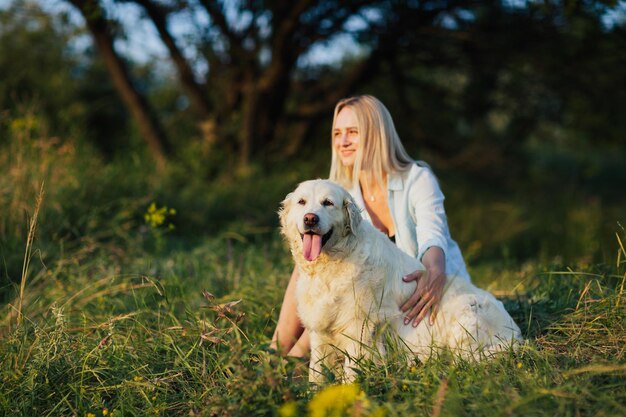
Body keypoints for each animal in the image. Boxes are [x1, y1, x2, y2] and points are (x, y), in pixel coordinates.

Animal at [280, 179, 520, 380]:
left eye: (328, 203)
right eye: (302, 202)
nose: (310, 218)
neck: (331, 264)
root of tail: (516, 335)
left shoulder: (359, 327)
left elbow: (351, 371)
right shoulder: (319, 330)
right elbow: (316, 372)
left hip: (467, 313)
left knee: (467, 361)